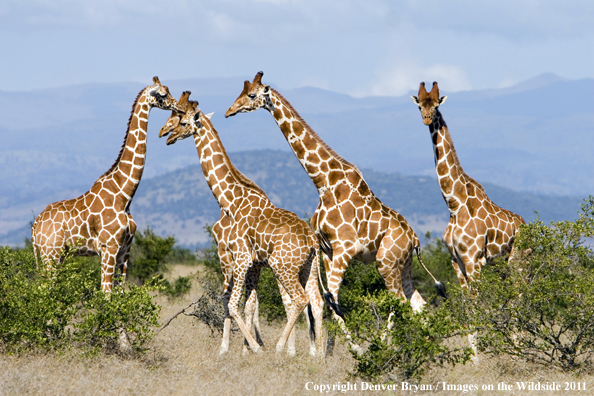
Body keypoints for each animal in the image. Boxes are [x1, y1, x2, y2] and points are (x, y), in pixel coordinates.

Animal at [31, 77, 180, 292]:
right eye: (162, 94)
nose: (179, 107)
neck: (124, 194)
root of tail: (35, 226)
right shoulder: (109, 247)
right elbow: (106, 292)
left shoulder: (125, 250)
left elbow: (120, 291)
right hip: (50, 253)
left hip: (57, 255)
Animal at [158, 98, 324, 352]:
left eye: (182, 122)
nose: (167, 136)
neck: (230, 201)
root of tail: (312, 239)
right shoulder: (254, 263)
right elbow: (248, 304)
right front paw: (247, 348)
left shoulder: (239, 257)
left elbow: (232, 302)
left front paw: (248, 348)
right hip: (309, 267)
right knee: (316, 301)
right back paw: (319, 354)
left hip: (281, 266)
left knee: (298, 300)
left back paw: (280, 348)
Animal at [224, 72, 442, 346]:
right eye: (240, 92)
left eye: (252, 95)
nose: (229, 111)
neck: (324, 183)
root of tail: (414, 239)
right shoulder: (327, 251)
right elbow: (327, 300)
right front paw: (339, 347)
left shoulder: (345, 249)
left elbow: (332, 299)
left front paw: (356, 349)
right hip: (403, 265)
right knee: (418, 303)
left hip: (387, 262)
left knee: (400, 302)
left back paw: (386, 344)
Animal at [410, 83, 524, 288]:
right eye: (420, 106)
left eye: (436, 106)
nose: (426, 119)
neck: (454, 205)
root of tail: (527, 224)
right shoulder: (456, 261)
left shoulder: (473, 260)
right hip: (501, 264)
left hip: (517, 259)